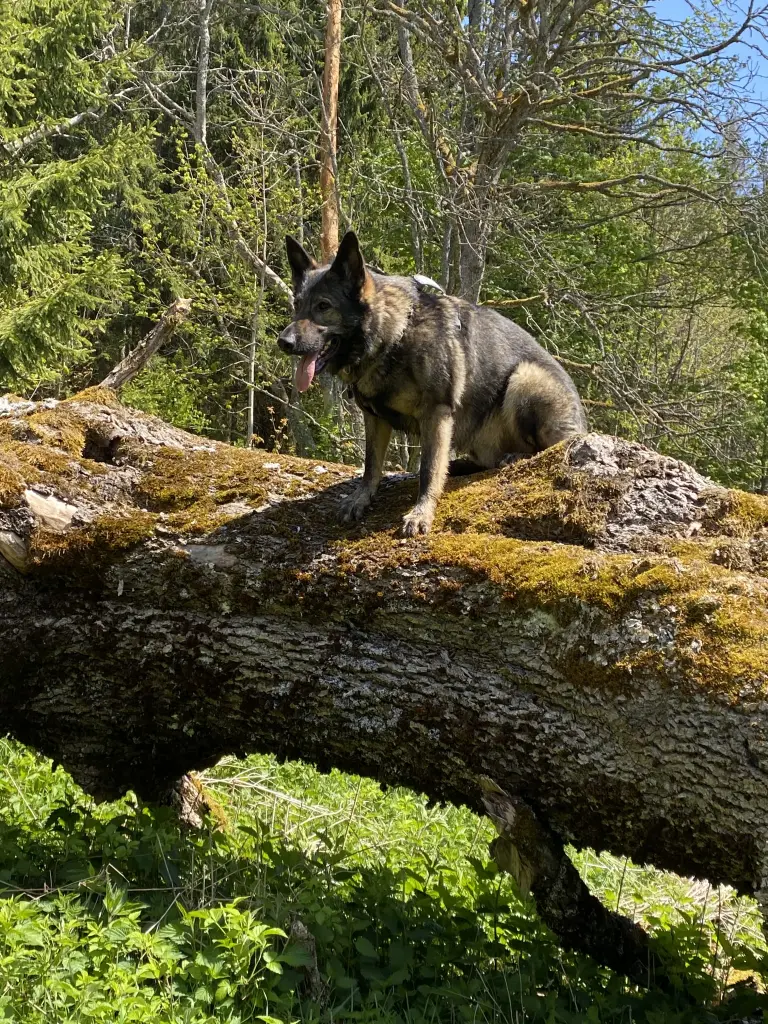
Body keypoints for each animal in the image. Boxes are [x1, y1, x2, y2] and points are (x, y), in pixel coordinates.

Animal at [278, 231, 587, 536]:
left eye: (323, 306)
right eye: (297, 306)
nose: (283, 342)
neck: (397, 335)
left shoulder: (436, 413)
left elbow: (428, 469)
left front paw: (421, 512)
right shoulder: (374, 417)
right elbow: (371, 464)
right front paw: (361, 497)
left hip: (524, 378)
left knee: (549, 447)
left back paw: (516, 457)